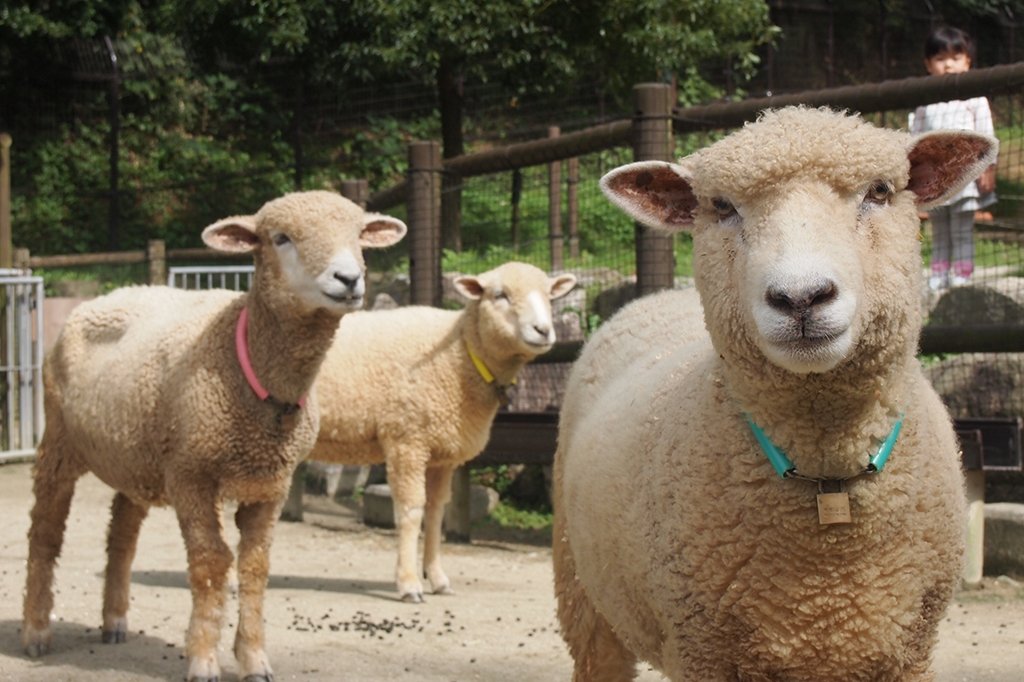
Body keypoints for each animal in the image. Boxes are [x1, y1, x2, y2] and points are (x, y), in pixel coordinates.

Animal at [19, 188, 403, 675]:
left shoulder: (272, 484)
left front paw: (254, 658)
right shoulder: (191, 476)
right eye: (280, 238)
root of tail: (105, 296)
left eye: (358, 235)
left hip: (138, 457)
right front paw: (203, 658)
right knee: (45, 534)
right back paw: (35, 630)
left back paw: (115, 620)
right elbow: (210, 561)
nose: (349, 279)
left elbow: (255, 565)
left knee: (121, 534)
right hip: (59, 443)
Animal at [311, 260, 577, 602]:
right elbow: (411, 511)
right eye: (499, 295)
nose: (543, 331)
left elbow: (437, 512)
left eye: (549, 295)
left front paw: (436, 578)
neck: (462, 352)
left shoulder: (442, 453)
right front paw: (409, 583)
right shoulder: (406, 439)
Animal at [557, 107, 995, 679]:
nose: (801, 297)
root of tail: (656, 296)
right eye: (722, 207)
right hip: (582, 591)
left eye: (879, 191)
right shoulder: (706, 653)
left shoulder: (910, 653)